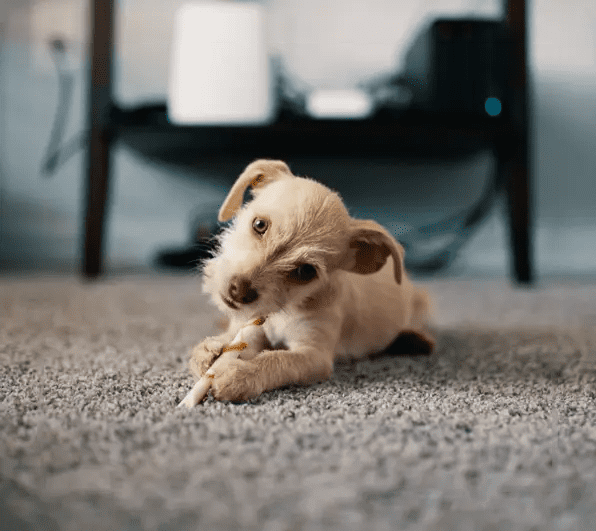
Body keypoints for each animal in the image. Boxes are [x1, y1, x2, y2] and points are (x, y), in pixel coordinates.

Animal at [191, 160, 434, 402]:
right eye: (259, 224)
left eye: (305, 271)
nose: (239, 291)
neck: (285, 310)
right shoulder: (253, 330)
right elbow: (235, 340)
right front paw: (211, 349)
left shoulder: (314, 355)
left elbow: (277, 360)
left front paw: (240, 374)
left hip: (422, 302)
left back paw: (414, 339)